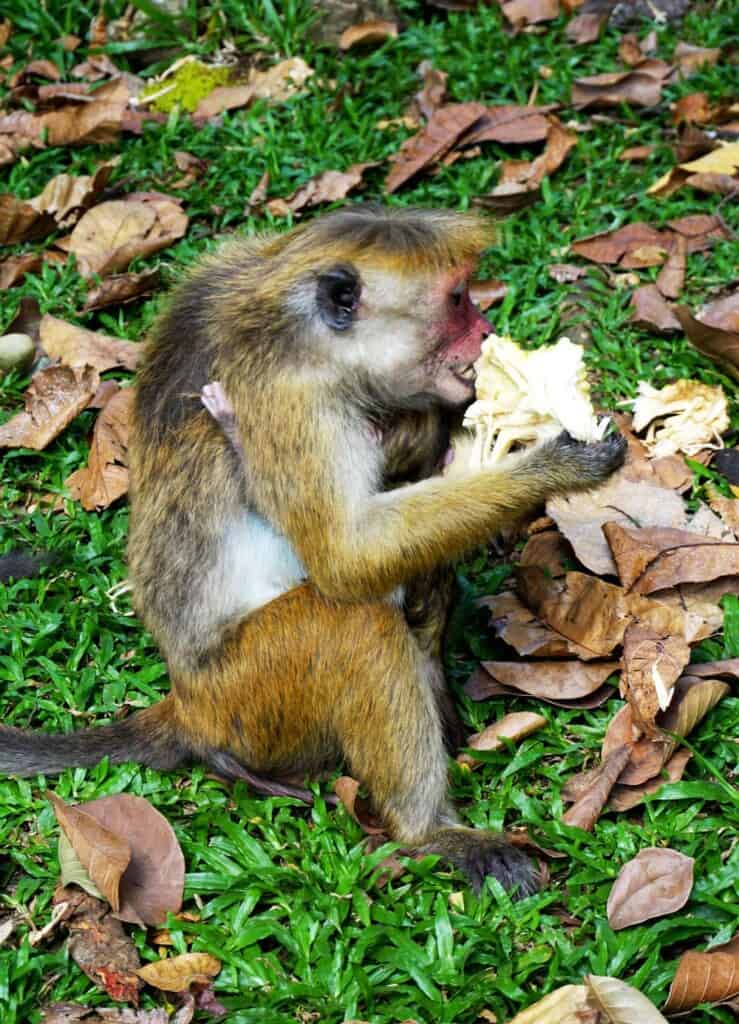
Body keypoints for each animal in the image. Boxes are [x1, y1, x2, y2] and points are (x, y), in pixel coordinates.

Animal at [0, 206, 626, 895]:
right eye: (458, 299)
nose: (486, 329)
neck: (301, 336)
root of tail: (188, 704)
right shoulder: (293, 405)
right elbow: (346, 560)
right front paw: (554, 463)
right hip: (248, 695)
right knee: (351, 624)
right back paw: (428, 831)